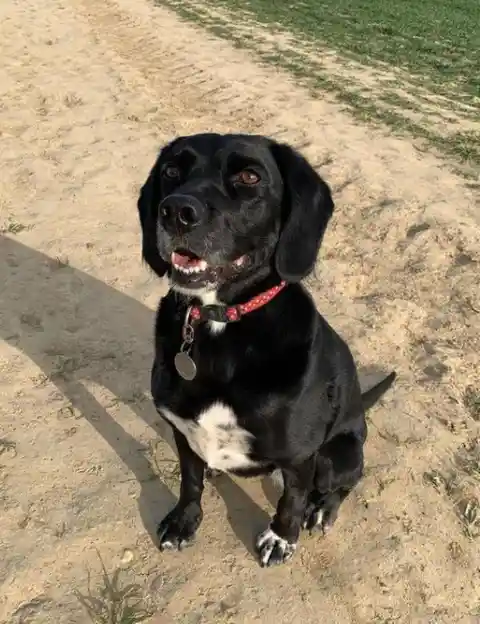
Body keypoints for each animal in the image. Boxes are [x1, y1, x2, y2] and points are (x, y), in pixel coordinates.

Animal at [137, 134, 396, 568]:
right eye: (171, 170)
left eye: (249, 177)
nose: (175, 212)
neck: (219, 323)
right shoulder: (181, 430)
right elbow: (189, 480)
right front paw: (184, 521)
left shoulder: (301, 455)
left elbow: (292, 500)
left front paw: (281, 538)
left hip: (337, 455)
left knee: (342, 484)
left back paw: (323, 509)